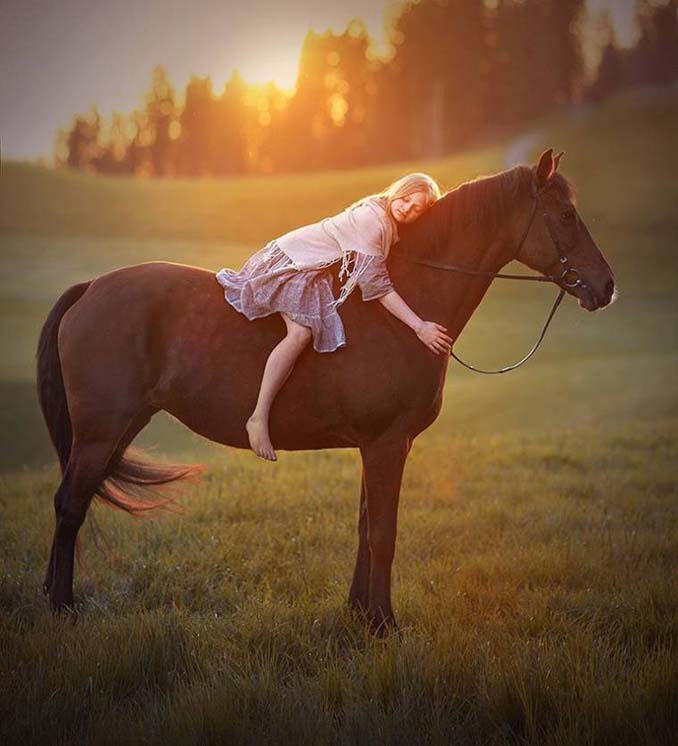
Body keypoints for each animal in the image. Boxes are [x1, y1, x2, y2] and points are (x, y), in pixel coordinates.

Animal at [37, 150, 616, 628]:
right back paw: (62, 607)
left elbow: (365, 529)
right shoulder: (386, 445)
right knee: (70, 504)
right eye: (566, 216)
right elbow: (383, 533)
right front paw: (384, 624)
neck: (400, 310)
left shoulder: (380, 445)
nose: (607, 286)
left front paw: (359, 613)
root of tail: (91, 288)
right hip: (100, 431)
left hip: (120, 426)